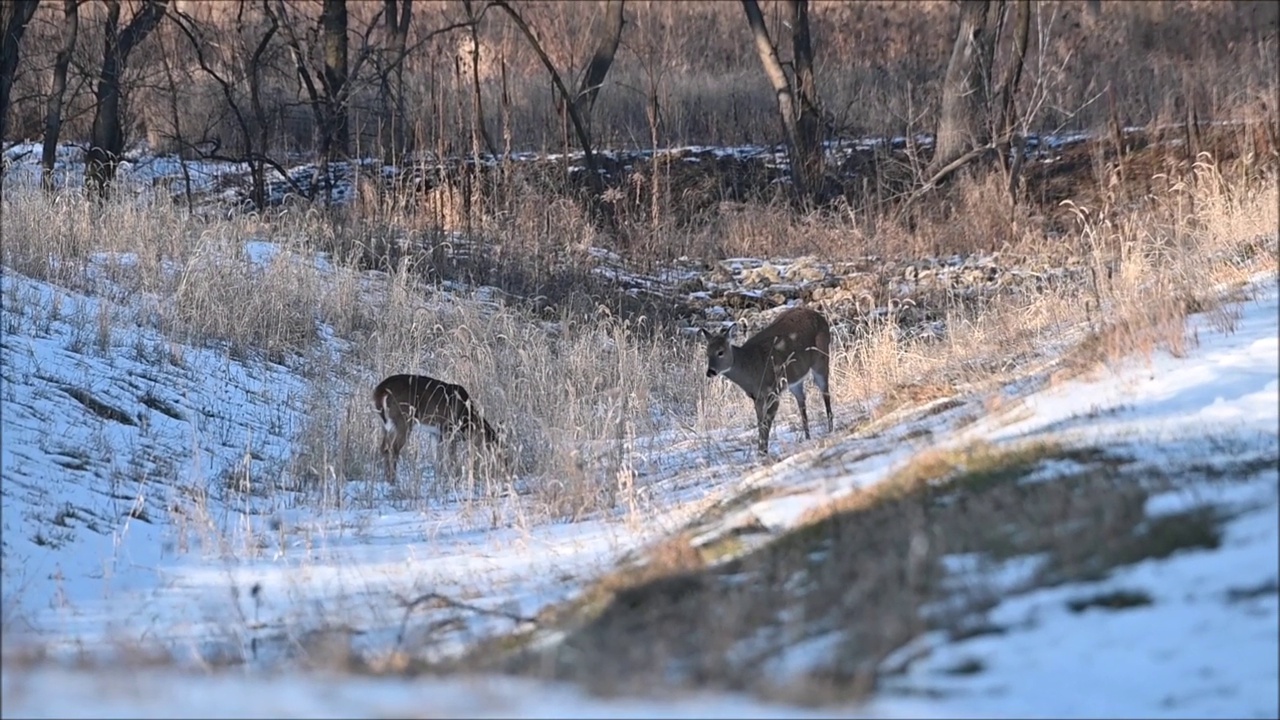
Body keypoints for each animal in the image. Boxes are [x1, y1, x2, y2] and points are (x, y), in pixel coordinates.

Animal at [371, 368, 499, 481]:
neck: (468, 418)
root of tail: (380, 391)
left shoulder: (435, 433)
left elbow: (437, 458)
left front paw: (439, 479)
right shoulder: (449, 429)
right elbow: (452, 458)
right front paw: (454, 478)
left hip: (386, 425)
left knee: (384, 448)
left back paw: (387, 479)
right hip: (403, 420)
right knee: (393, 449)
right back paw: (393, 480)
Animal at [696, 303, 834, 453]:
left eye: (720, 352)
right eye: (707, 353)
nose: (710, 372)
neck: (750, 368)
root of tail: (820, 317)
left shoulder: (773, 391)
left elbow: (767, 423)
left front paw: (763, 451)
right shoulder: (757, 397)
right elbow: (760, 423)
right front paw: (760, 450)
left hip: (821, 359)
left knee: (825, 392)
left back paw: (830, 429)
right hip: (794, 379)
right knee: (802, 399)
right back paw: (808, 437)